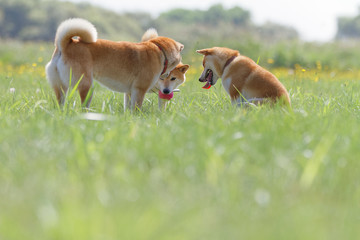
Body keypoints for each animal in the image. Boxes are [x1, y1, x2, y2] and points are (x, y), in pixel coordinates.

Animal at [45, 18, 184, 110]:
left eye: (173, 78)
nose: (166, 91)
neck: (159, 50)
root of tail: (64, 45)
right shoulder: (139, 90)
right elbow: (137, 108)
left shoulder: (129, 92)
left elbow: (128, 109)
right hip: (86, 85)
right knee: (83, 106)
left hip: (60, 86)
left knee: (60, 102)